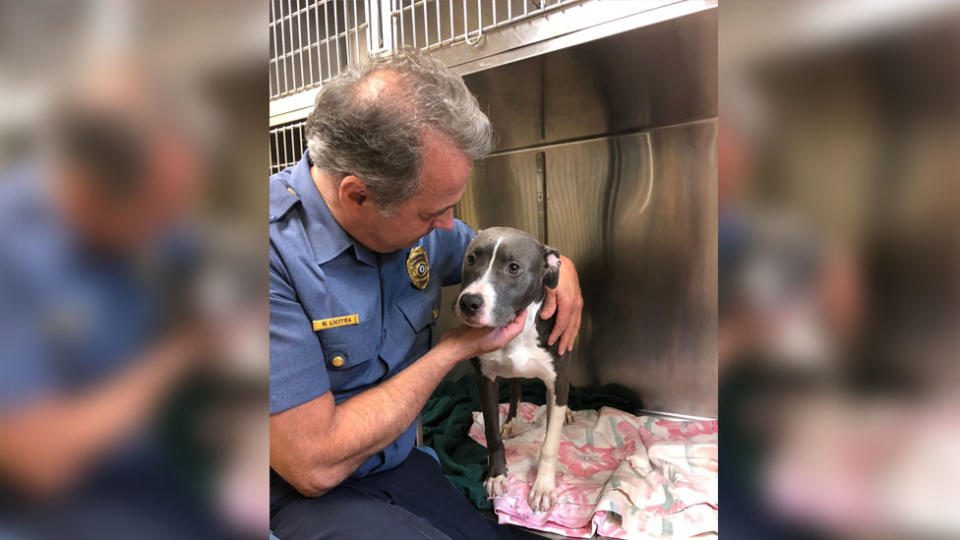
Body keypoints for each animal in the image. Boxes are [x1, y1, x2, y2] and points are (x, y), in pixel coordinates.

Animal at [456, 227, 572, 510]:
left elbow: (550, 443)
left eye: (513, 268)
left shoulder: (558, 380)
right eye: (471, 259)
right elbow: (491, 433)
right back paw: (510, 421)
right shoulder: (485, 379)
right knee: (517, 386)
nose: (469, 302)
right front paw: (497, 475)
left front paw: (543, 487)